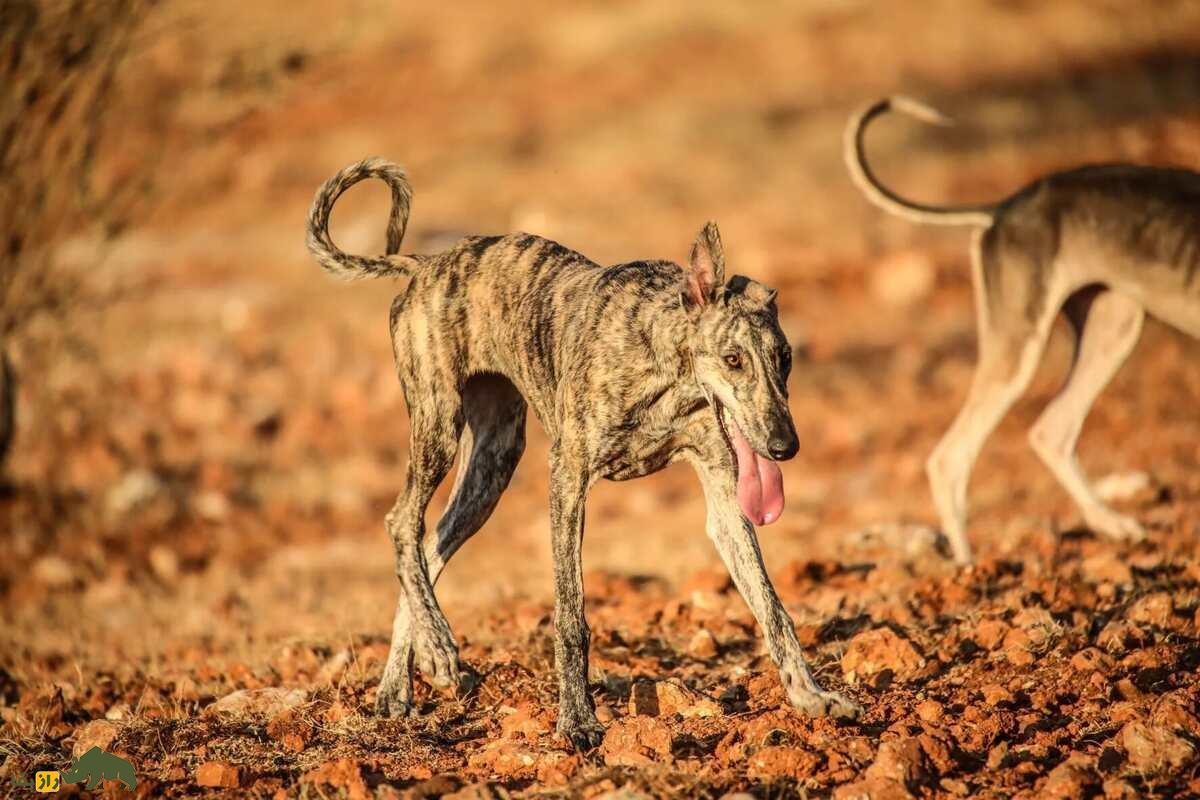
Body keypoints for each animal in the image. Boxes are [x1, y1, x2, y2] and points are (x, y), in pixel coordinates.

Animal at [304, 158, 859, 753]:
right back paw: (440, 652)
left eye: (785, 357)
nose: (785, 446)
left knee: (430, 547)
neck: (665, 366)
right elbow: (571, 615)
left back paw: (401, 683)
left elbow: (771, 605)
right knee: (401, 522)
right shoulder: (567, 476)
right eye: (733, 359)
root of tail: (427, 263)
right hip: (438, 427)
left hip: (492, 467)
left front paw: (812, 696)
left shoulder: (726, 498)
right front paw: (577, 720)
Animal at [844, 97, 1200, 566]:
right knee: (951, 457)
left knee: (1052, 429)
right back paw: (967, 565)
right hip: (1022, 343)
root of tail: (1002, 207)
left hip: (1114, 325)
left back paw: (1114, 525)